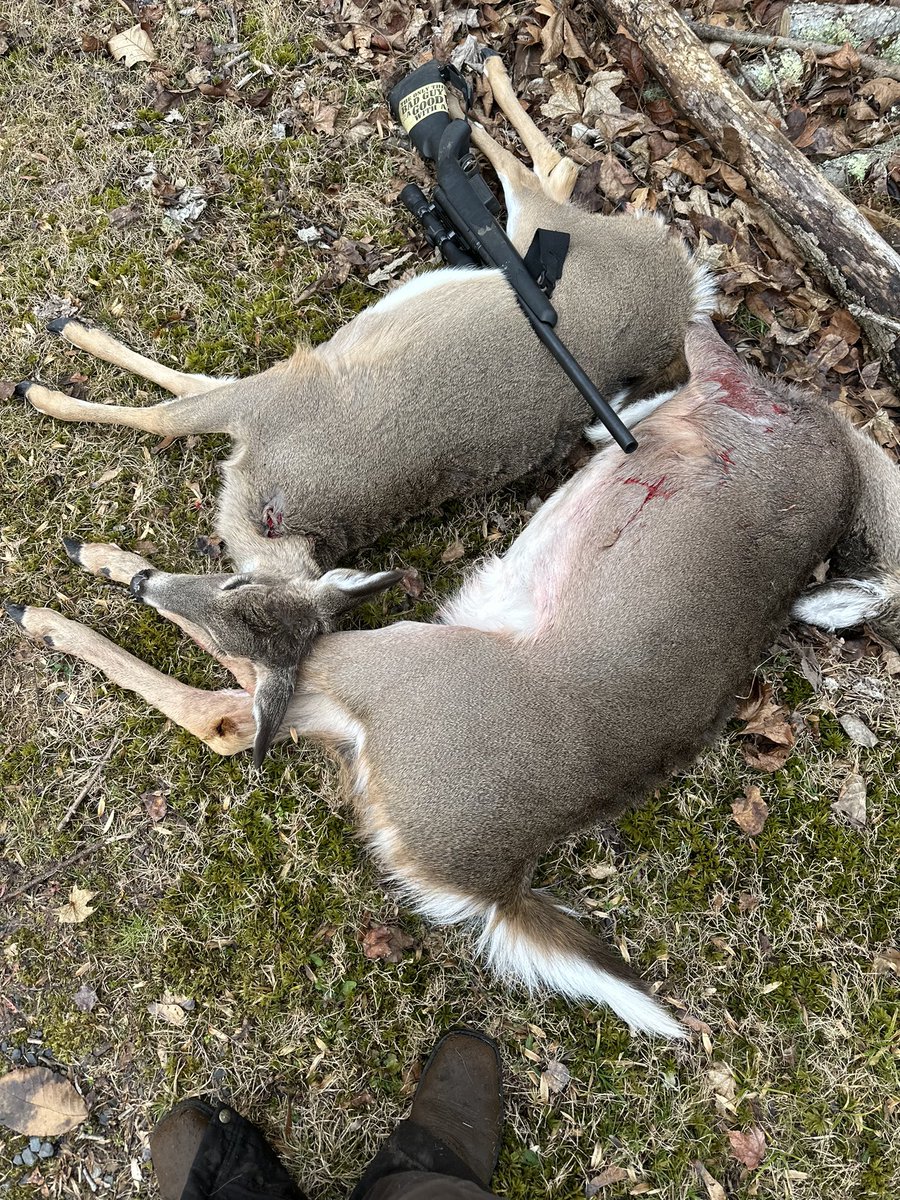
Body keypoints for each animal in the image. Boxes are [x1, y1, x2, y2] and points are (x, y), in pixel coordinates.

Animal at [8, 316, 900, 1037]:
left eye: (232, 579)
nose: (143, 581)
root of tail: (495, 881)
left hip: (400, 665)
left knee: (243, 695)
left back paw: (59, 597)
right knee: (236, 713)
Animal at [12, 51, 713, 760]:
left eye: (230, 606)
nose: (145, 587)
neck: (276, 508)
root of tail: (686, 286)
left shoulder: (274, 397)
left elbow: (164, 410)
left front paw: (43, 396)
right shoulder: (271, 392)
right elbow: (186, 388)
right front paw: (67, 340)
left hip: (554, 232)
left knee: (550, 172)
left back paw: (471, 90)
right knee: (554, 170)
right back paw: (466, 90)